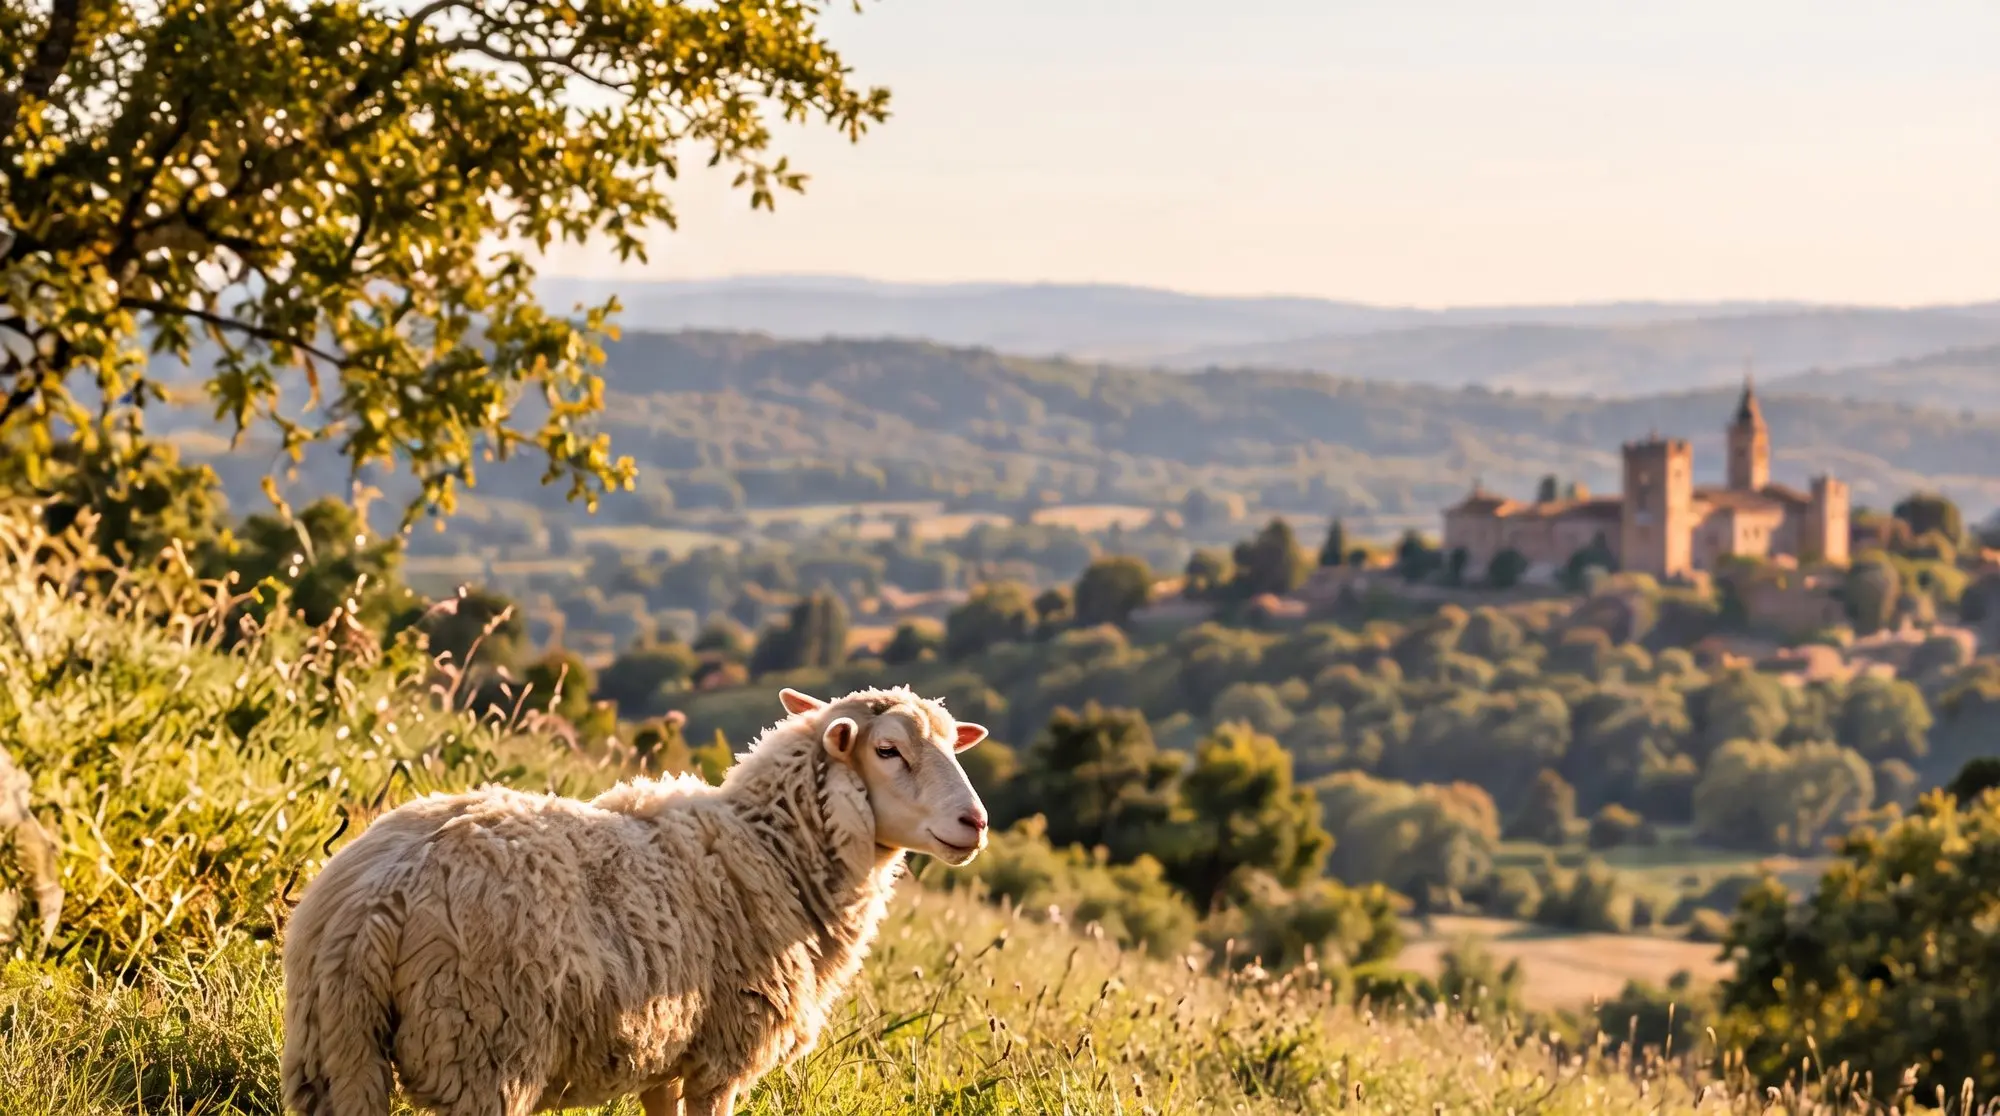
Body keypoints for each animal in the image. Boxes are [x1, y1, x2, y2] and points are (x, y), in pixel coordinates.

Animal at [281, 684, 991, 1116]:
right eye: (888, 749)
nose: (976, 822)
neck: (775, 849)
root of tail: (377, 897)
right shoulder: (722, 1057)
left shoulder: (664, 1057)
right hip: (480, 1051)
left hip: (335, 1052)